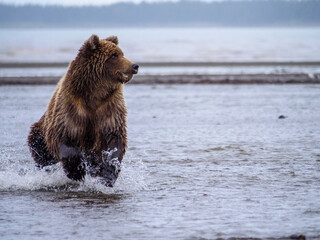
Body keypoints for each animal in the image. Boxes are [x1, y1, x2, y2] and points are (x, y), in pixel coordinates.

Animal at [26, 34, 139, 188]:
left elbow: (114, 141)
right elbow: (64, 138)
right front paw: (77, 171)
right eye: (114, 55)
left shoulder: (110, 109)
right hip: (40, 134)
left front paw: (107, 175)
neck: (95, 94)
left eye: (121, 53)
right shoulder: (71, 108)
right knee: (43, 157)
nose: (134, 66)